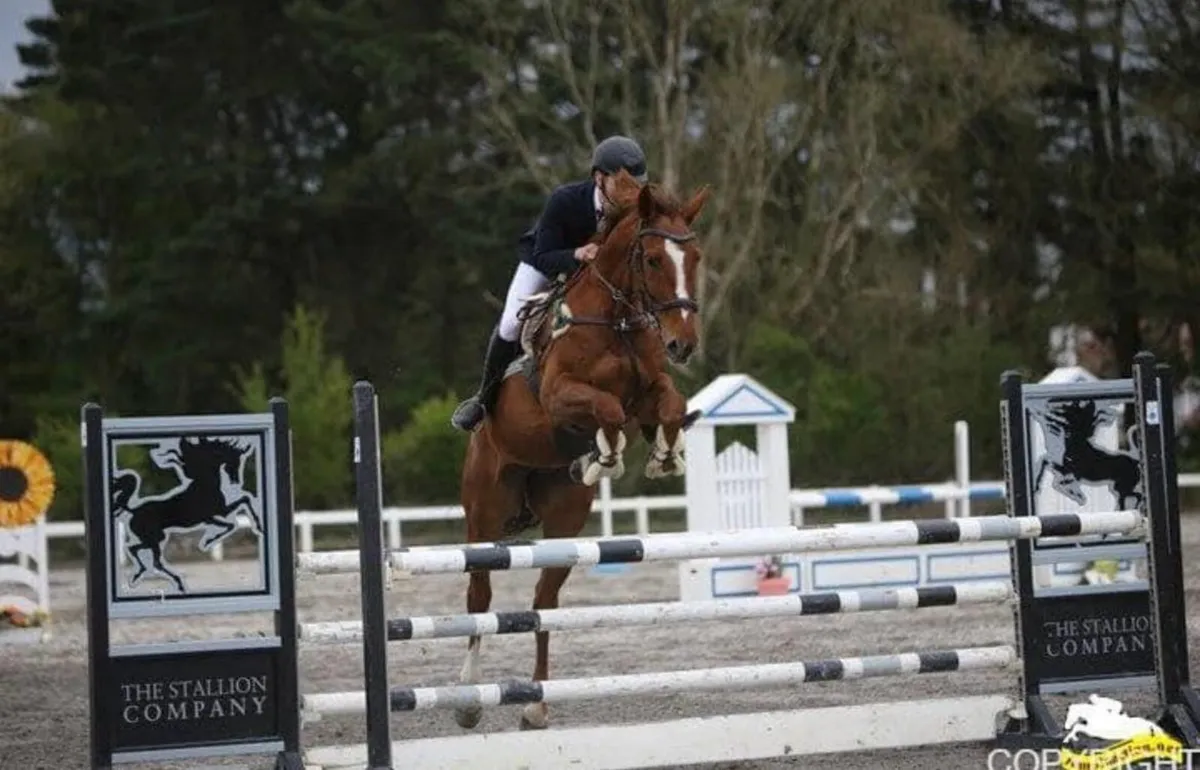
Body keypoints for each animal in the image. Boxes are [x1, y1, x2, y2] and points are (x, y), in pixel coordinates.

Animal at [111, 436, 260, 592]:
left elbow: (244, 502)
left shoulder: (213, 517)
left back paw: (141, 573)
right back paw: (177, 583)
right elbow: (235, 517)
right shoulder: (215, 514)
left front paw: (258, 526)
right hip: (154, 538)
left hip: (154, 538)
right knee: (152, 559)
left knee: (135, 550)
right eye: (235, 460)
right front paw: (208, 542)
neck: (205, 485)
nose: (236, 480)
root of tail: (132, 511)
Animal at [455, 170, 710, 731]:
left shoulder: (649, 392)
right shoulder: (558, 397)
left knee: (543, 600)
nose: (683, 344)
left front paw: (664, 454)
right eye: (653, 259)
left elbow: (670, 404)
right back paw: (467, 699)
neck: (616, 318)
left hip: (564, 518)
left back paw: (536, 705)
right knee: (480, 594)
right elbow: (606, 409)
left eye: (695, 257)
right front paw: (606, 453)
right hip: (484, 510)